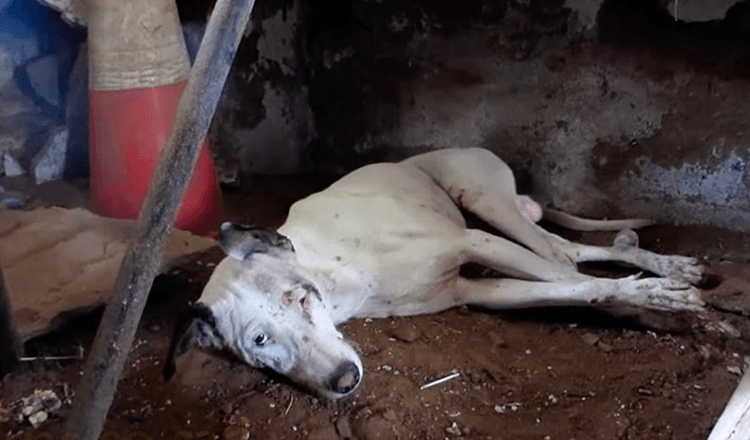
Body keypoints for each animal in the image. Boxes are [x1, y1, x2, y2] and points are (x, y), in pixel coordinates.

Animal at [163, 147, 704, 398]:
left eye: (297, 298)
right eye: (259, 342)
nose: (343, 381)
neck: (341, 276)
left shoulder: (473, 241)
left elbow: (576, 282)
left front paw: (656, 300)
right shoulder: (471, 290)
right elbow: (571, 288)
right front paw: (648, 299)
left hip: (486, 202)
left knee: (564, 253)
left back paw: (664, 270)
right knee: (569, 253)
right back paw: (665, 266)